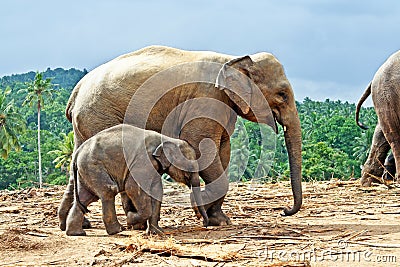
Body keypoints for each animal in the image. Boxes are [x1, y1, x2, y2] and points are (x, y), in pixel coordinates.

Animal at [61, 124, 209, 236]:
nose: (204, 223)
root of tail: (76, 154)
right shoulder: (142, 161)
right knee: (108, 191)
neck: (166, 139)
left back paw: (76, 233)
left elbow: (156, 191)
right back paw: (117, 230)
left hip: (86, 171)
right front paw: (130, 218)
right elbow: (133, 188)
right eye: (189, 169)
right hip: (93, 166)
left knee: (86, 197)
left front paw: (156, 232)